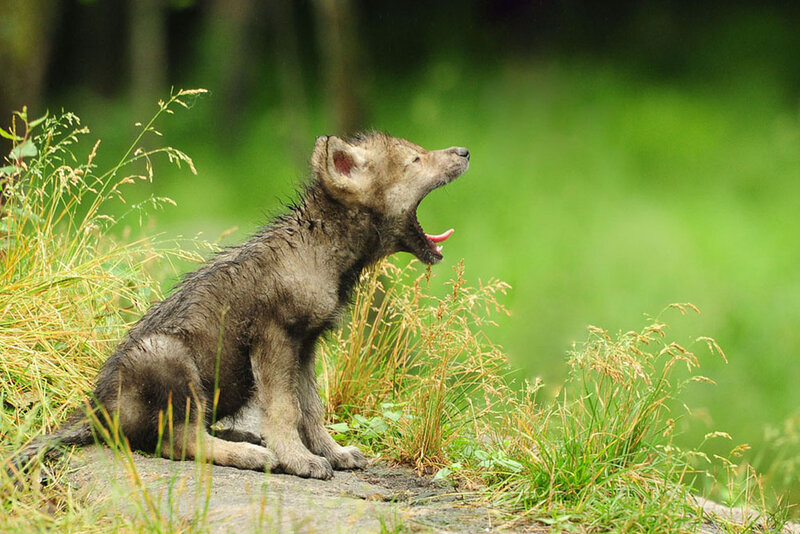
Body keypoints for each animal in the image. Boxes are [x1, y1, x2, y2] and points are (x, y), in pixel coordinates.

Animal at [11, 133, 469, 480]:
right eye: (415, 159)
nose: (464, 152)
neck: (325, 251)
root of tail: (97, 411)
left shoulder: (305, 345)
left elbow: (311, 410)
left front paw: (332, 453)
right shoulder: (273, 336)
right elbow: (284, 410)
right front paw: (298, 460)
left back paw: (245, 439)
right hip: (168, 357)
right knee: (178, 441)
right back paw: (253, 455)